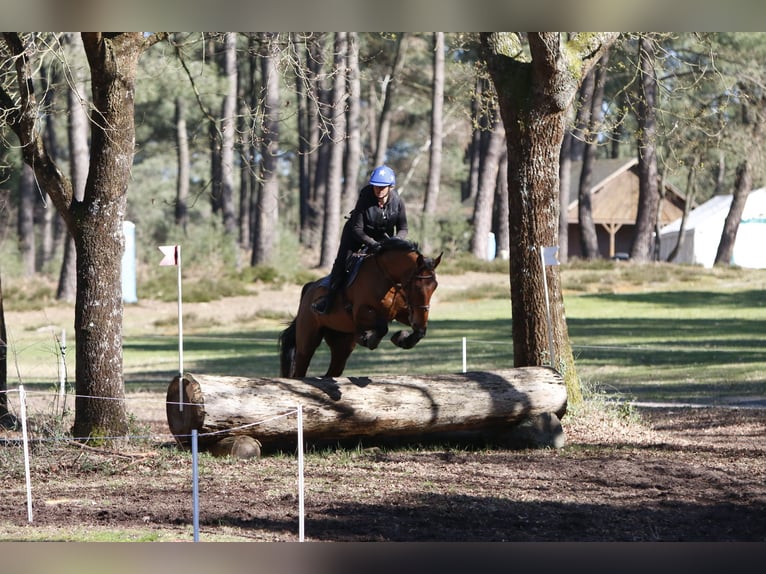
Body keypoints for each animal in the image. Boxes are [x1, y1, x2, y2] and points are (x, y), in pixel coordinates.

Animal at [279, 237, 442, 378]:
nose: (418, 321)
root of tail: (309, 288)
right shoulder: (360, 313)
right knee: (300, 370)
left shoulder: (402, 313)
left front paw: (401, 338)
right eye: (416, 286)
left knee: (332, 372)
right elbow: (382, 327)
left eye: (435, 286)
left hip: (341, 344)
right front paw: (369, 339)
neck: (387, 276)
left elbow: (419, 332)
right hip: (307, 341)